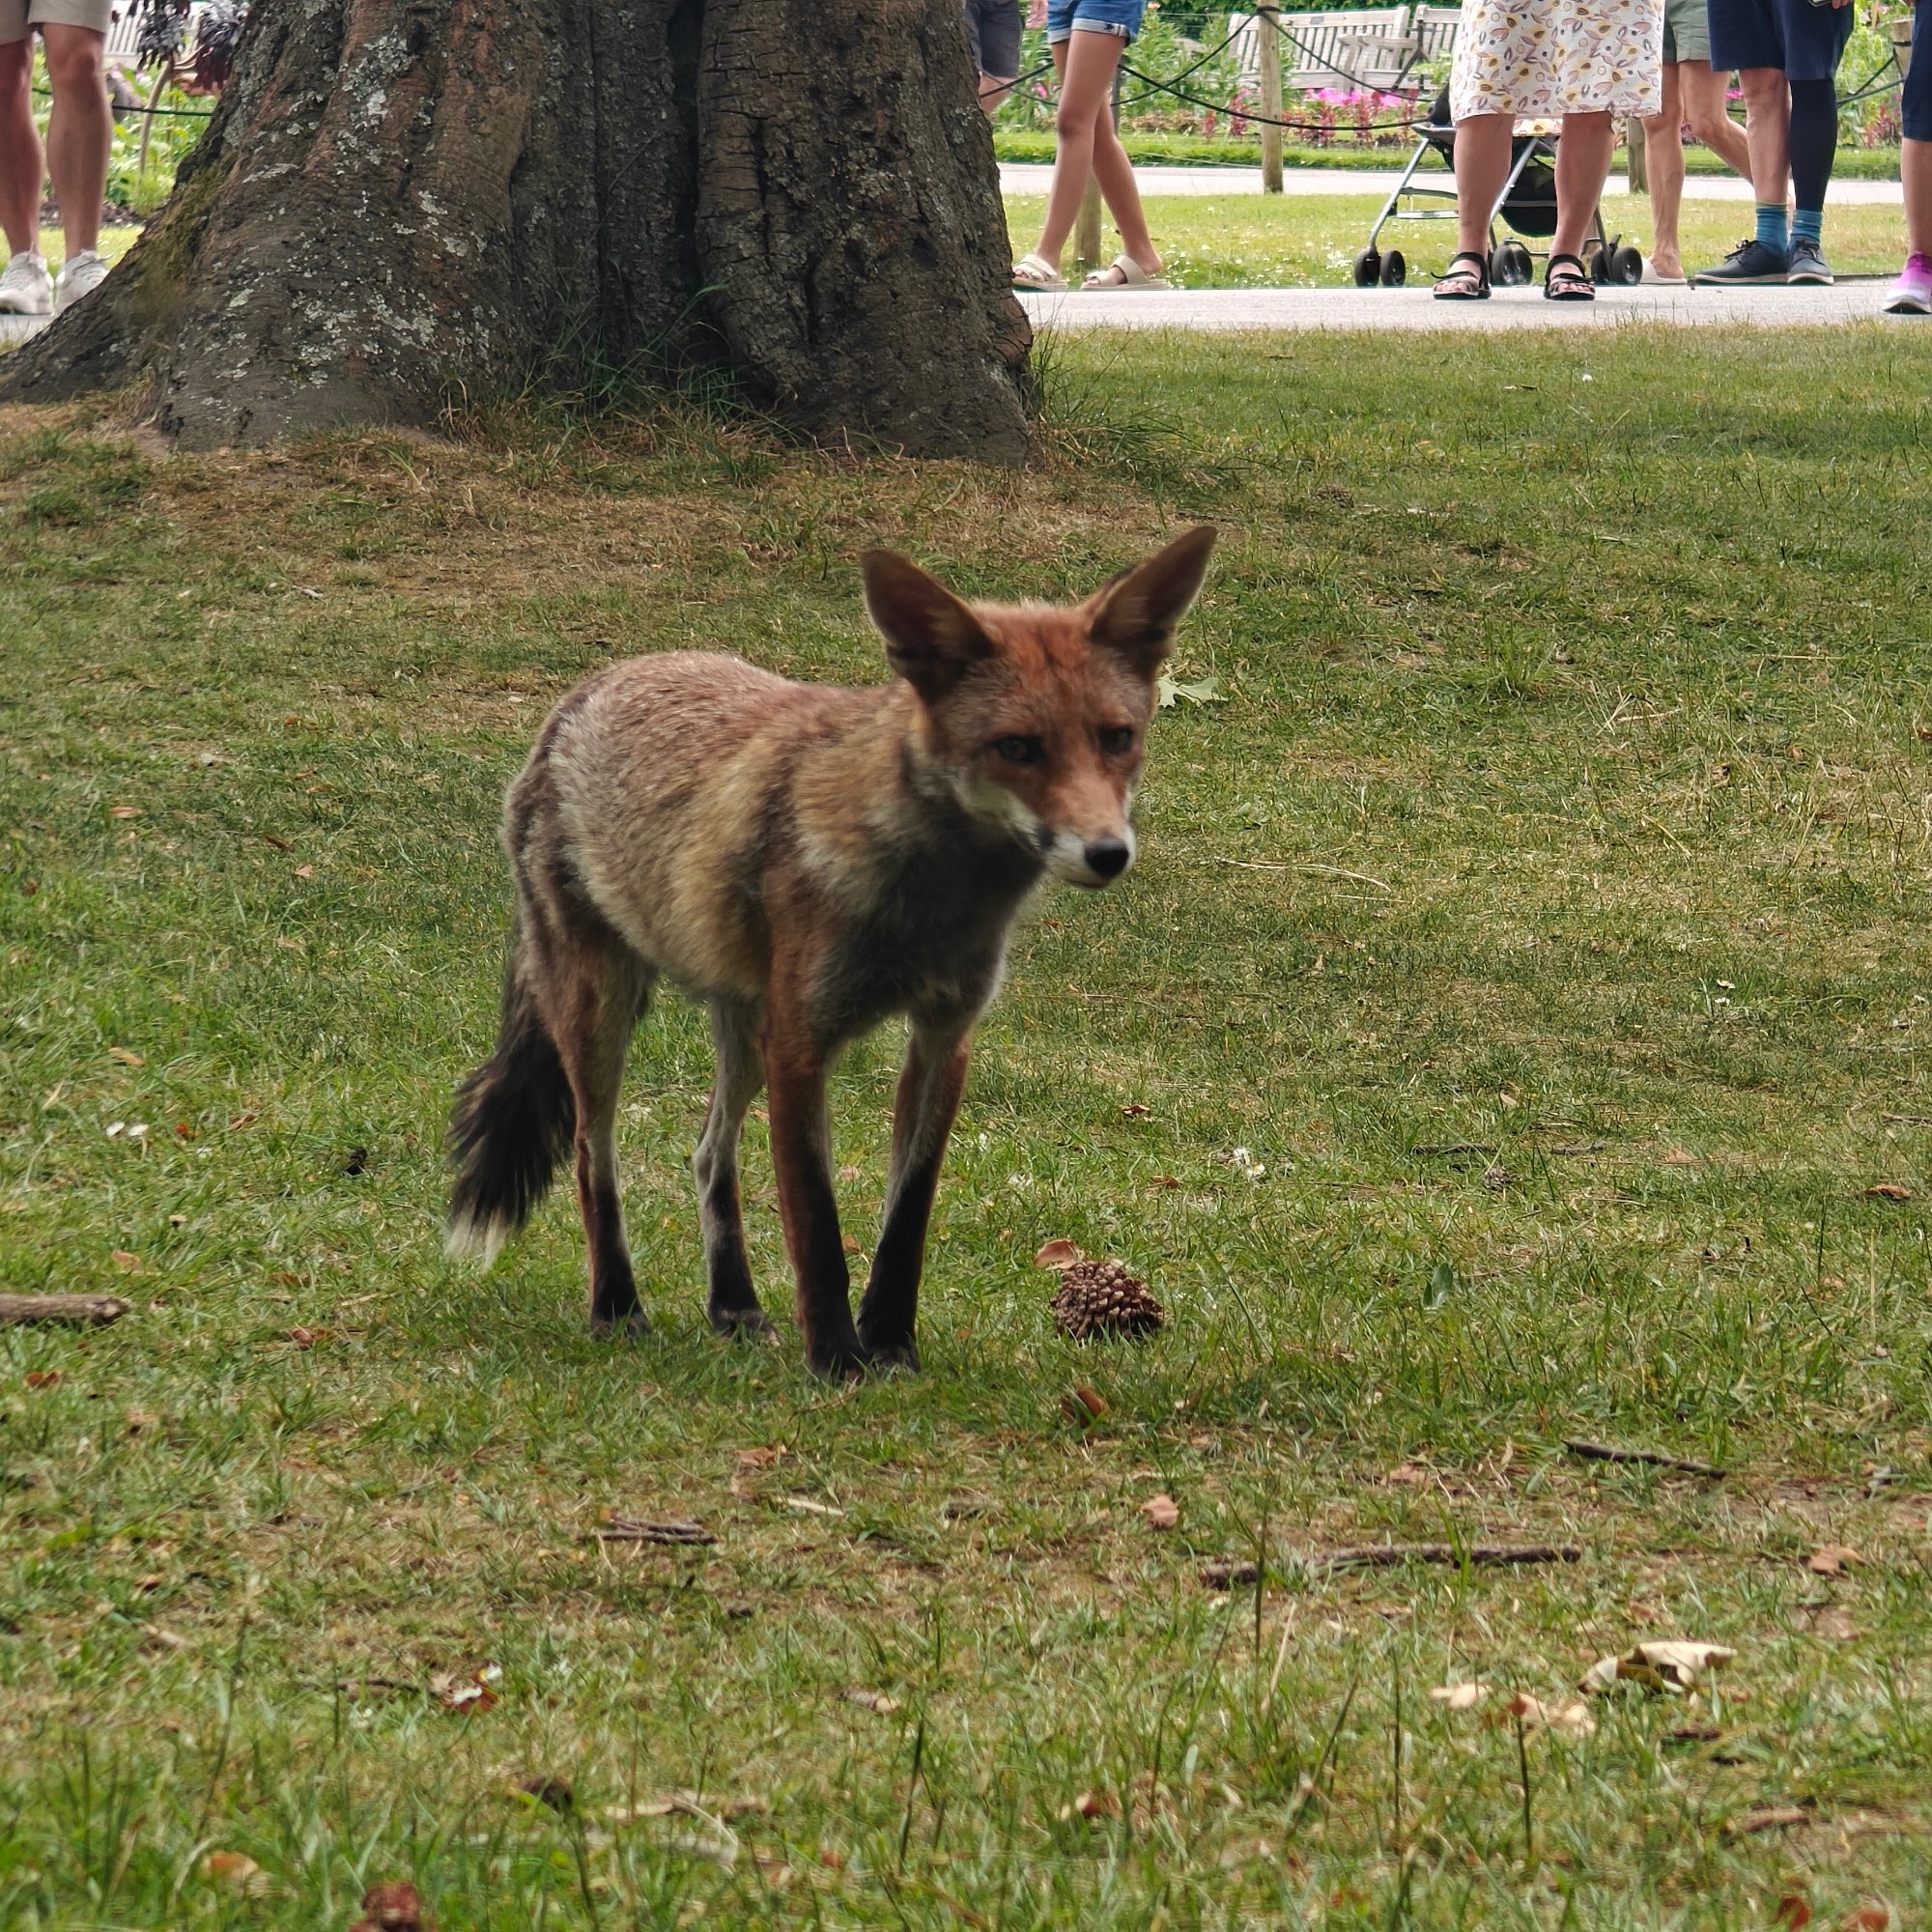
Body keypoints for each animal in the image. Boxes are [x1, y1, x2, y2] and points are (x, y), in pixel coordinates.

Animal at [445, 524, 1217, 1378]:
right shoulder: (802, 1040)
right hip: (603, 1009)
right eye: (1018, 748)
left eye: (1118, 739)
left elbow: (905, 1220)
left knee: (708, 1155)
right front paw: (839, 1362)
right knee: (592, 1156)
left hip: (743, 1027)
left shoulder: (944, 1037)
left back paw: (733, 1304)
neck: (930, 907)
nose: (1109, 853)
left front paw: (893, 1345)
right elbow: (815, 1224)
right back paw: (616, 1306)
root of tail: (588, 690)